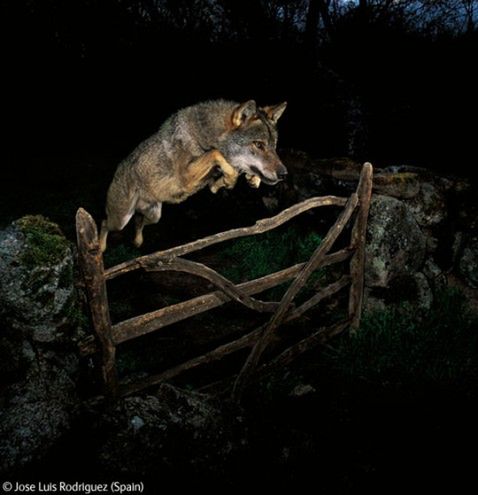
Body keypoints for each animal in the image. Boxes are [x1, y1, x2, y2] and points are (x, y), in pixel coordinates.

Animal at [100, 99, 288, 252]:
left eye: (274, 146)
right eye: (259, 145)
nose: (284, 174)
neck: (206, 135)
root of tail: (118, 170)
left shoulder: (209, 179)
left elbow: (225, 175)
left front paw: (250, 179)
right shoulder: (186, 176)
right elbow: (216, 154)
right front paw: (231, 178)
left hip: (154, 216)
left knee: (138, 221)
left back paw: (137, 241)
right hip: (120, 220)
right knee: (104, 223)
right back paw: (100, 248)